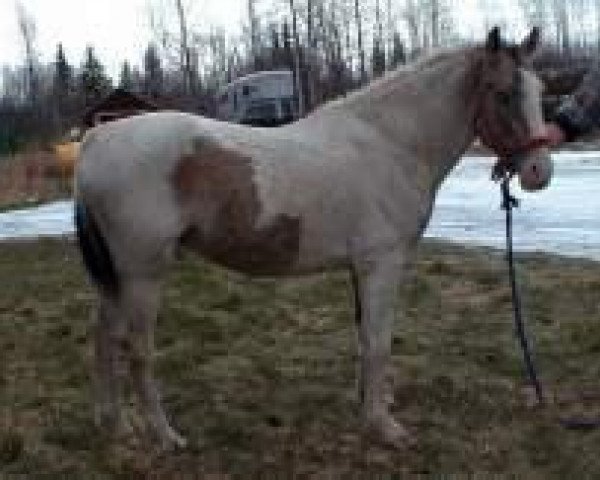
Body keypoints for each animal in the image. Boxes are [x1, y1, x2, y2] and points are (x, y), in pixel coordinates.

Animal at [74, 27, 552, 450]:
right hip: (143, 275)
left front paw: (368, 409)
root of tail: (96, 139)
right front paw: (384, 428)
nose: (539, 172)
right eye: (503, 93)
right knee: (137, 350)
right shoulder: (382, 264)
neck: (390, 143)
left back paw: (115, 425)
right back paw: (164, 436)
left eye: (539, 90)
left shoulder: (362, 267)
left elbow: (365, 339)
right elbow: (378, 342)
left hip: (116, 277)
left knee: (103, 337)